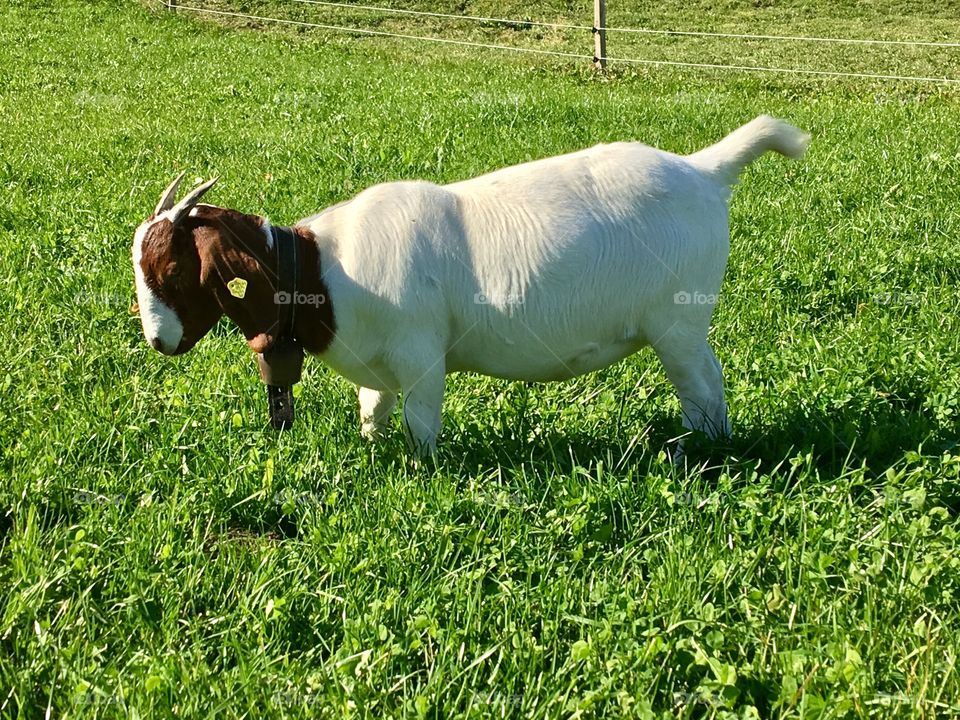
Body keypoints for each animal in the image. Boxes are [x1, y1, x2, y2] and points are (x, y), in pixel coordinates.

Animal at [132, 115, 809, 455]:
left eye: (174, 270)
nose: (157, 342)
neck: (323, 269)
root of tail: (703, 170)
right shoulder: (380, 364)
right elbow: (374, 411)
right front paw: (373, 451)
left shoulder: (421, 355)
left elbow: (421, 423)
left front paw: (423, 472)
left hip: (678, 323)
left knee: (705, 387)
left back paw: (705, 452)